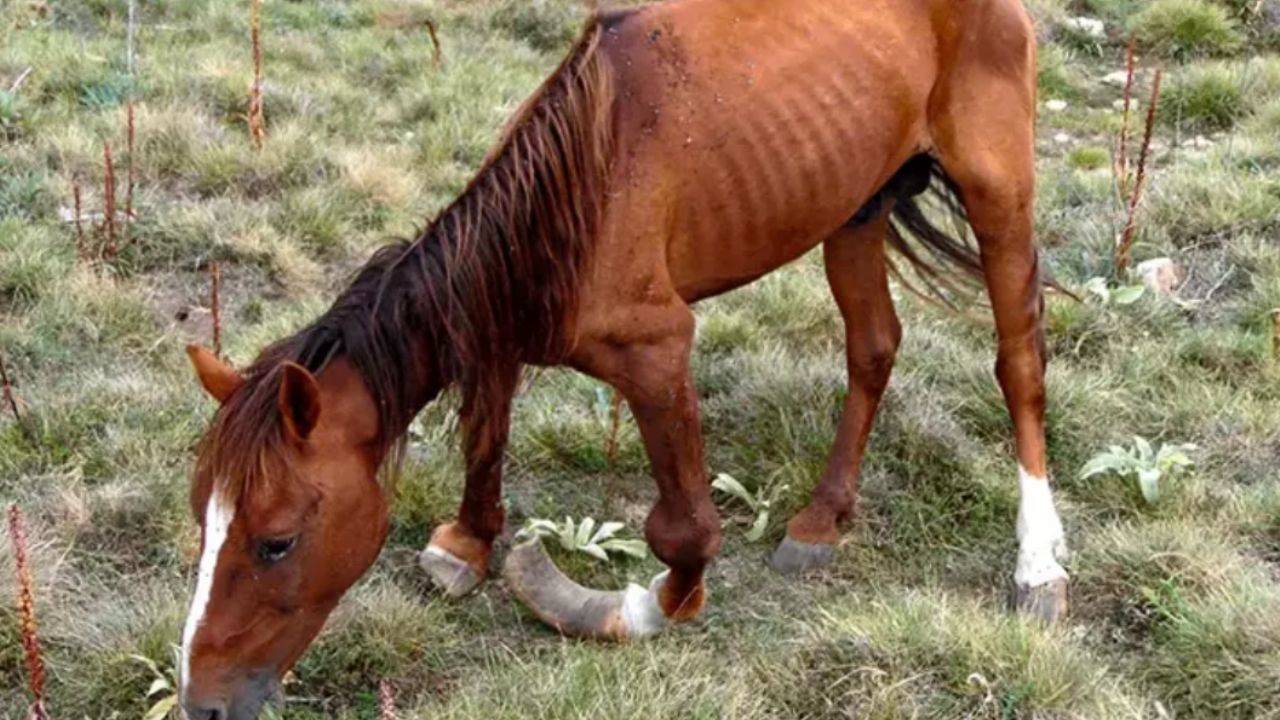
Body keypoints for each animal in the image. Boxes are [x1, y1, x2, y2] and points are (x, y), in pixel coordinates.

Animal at [177, 1, 1070, 712]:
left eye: (276, 542)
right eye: (202, 521)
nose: (202, 703)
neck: (573, 197)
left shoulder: (656, 352)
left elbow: (685, 533)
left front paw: (622, 607)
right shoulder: (498, 326)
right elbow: (484, 438)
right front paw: (467, 543)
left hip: (998, 191)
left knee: (1018, 364)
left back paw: (1038, 563)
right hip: (855, 204)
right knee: (873, 349)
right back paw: (823, 518)